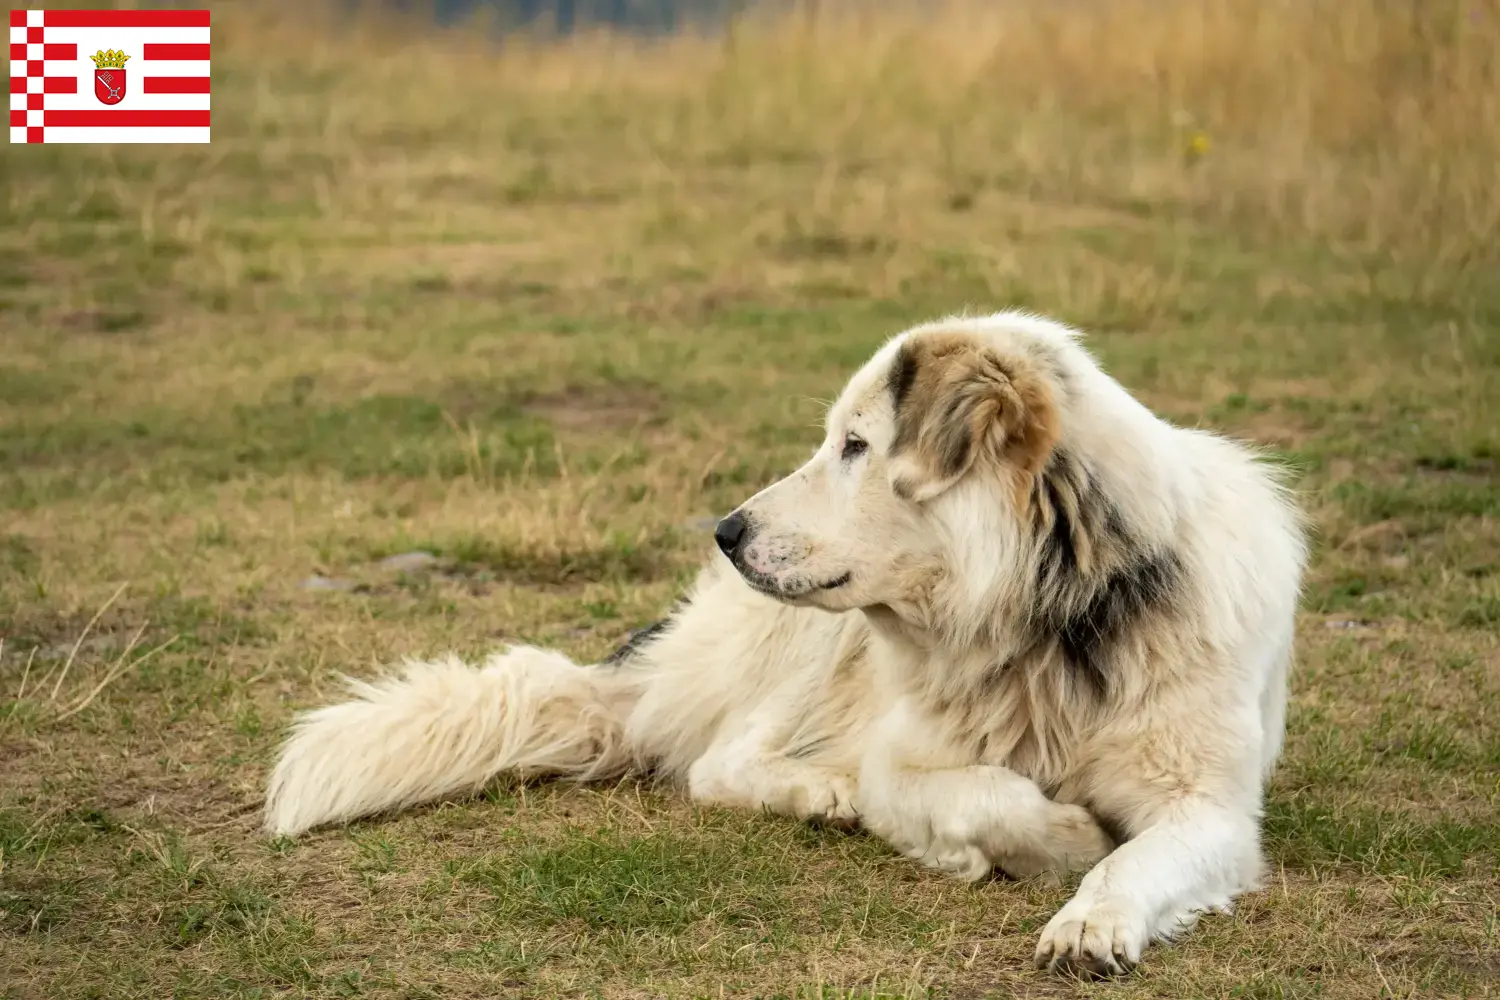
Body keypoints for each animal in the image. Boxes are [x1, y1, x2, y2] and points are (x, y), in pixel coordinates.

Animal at [264, 313, 1308, 977]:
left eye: (855, 446)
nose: (726, 531)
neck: (1051, 619)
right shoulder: (906, 760)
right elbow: (993, 798)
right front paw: (1063, 838)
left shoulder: (1211, 809)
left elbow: (1140, 858)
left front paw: (1092, 916)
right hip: (811, 645)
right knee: (718, 764)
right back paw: (821, 794)